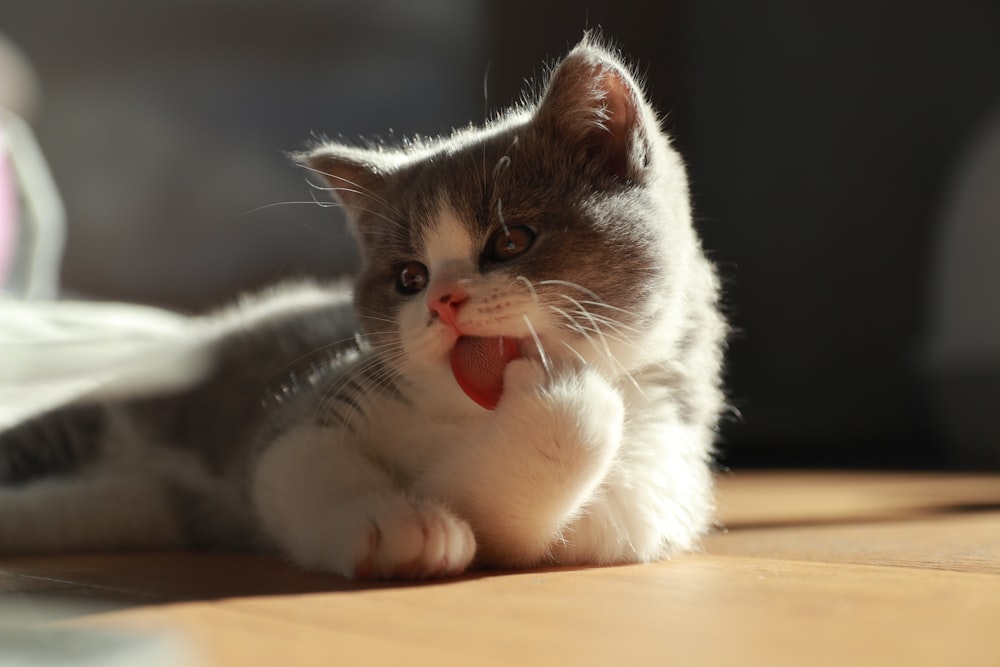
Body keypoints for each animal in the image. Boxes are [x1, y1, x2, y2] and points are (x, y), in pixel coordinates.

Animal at [0, 36, 724, 580]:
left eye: (512, 240)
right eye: (409, 277)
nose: (444, 300)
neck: (467, 413)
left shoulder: (640, 496)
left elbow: (507, 510)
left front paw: (555, 395)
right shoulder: (312, 409)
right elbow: (300, 464)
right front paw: (399, 524)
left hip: (127, 505)